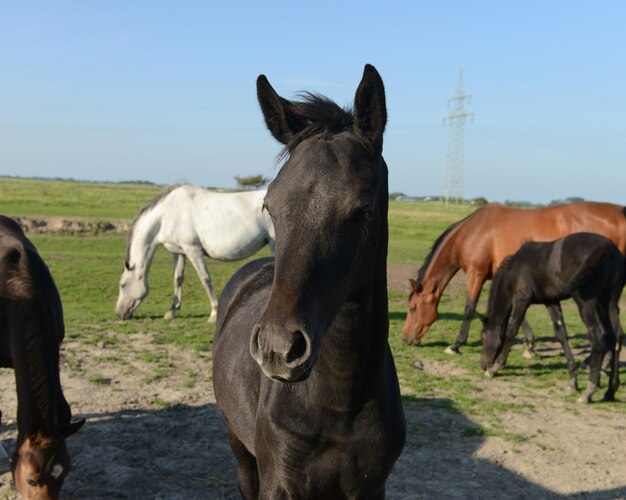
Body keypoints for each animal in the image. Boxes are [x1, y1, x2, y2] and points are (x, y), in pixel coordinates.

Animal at [117, 186, 272, 322]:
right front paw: (171, 311)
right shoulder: (179, 252)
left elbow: (205, 279)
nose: (119, 314)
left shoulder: (193, 250)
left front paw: (214, 313)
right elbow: (177, 279)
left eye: (123, 285)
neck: (168, 214)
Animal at [210, 64, 404, 498]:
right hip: (238, 446)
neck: (339, 405)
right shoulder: (279, 483)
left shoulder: (372, 488)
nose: (278, 349)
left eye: (363, 209)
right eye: (270, 205)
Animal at [400, 202, 624, 352]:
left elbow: (469, 308)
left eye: (413, 308)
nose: (404, 338)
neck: (472, 232)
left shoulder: (476, 274)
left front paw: (456, 344)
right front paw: (530, 344)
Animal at [478, 233, 620, 402]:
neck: (513, 268)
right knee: (615, 337)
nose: (483, 364)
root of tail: (607, 247)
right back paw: (610, 390)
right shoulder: (551, 301)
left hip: (587, 303)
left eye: (483, 337)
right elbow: (561, 335)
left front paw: (496, 368)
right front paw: (572, 380)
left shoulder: (521, 300)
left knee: (599, 336)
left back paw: (590, 390)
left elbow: (512, 331)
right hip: (609, 303)